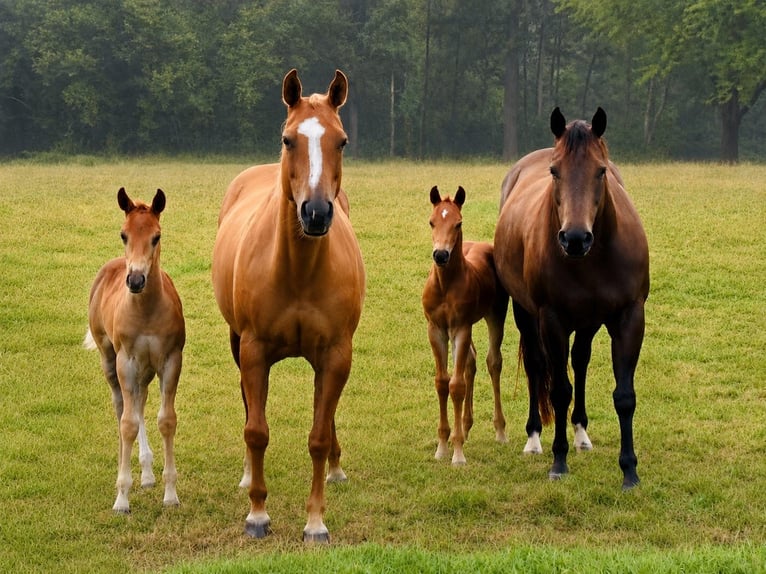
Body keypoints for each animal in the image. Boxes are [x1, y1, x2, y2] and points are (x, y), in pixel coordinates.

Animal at [84, 187, 185, 512]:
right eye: (123, 234)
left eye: (156, 236)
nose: (136, 280)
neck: (147, 311)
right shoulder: (126, 361)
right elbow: (127, 424)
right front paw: (122, 498)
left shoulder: (170, 360)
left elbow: (166, 420)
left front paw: (170, 494)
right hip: (110, 360)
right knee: (122, 409)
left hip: (145, 370)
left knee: (139, 402)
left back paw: (148, 473)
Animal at [212, 69, 365, 543]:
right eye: (287, 139)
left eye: (342, 141)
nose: (315, 213)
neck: (298, 271)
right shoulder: (253, 350)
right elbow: (256, 430)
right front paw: (257, 514)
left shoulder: (335, 354)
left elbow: (317, 435)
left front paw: (315, 521)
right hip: (237, 342)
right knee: (248, 406)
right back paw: (247, 475)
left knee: (326, 419)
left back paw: (336, 467)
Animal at [422, 186, 509, 466]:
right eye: (432, 221)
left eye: (458, 223)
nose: (440, 255)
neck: (445, 285)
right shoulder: (436, 329)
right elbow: (442, 382)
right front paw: (442, 446)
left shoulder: (460, 328)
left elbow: (456, 385)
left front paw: (458, 454)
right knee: (471, 361)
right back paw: (466, 427)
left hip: (495, 315)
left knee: (493, 362)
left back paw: (499, 430)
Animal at [494, 107, 649, 489]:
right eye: (554, 171)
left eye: (601, 170)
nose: (575, 238)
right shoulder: (552, 319)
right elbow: (559, 390)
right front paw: (558, 461)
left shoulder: (629, 317)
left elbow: (624, 396)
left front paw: (630, 470)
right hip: (525, 313)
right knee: (537, 366)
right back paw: (535, 438)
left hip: (588, 321)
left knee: (580, 361)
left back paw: (581, 433)